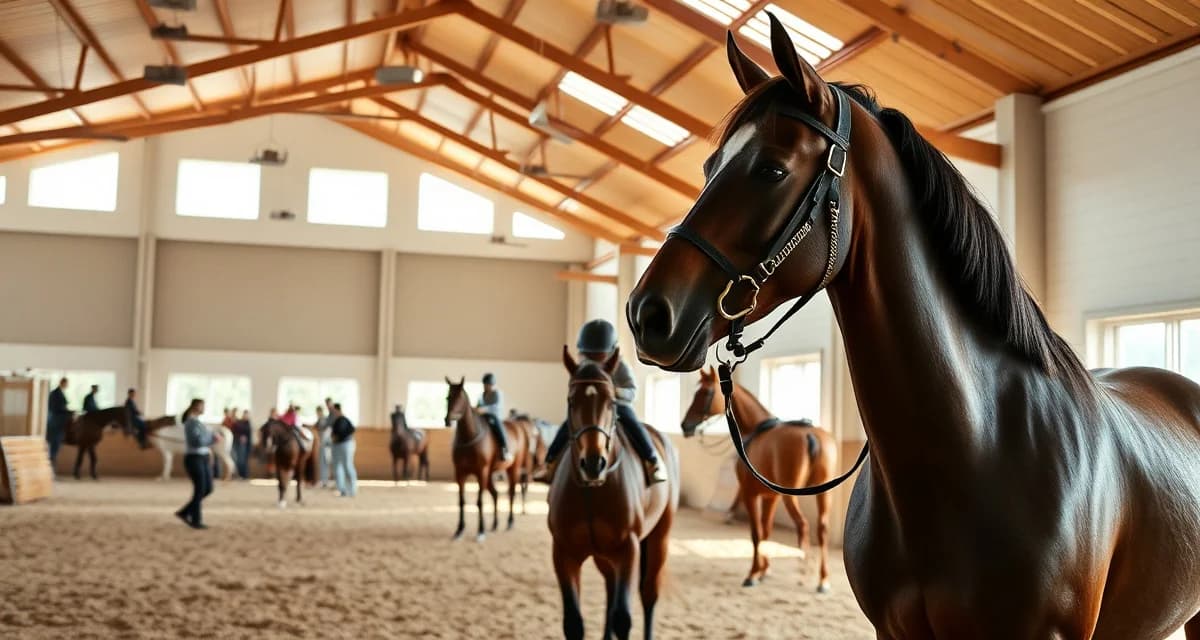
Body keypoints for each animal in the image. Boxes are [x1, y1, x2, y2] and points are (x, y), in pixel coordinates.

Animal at [444, 376, 530, 541]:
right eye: (448, 397)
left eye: (461, 398)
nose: (448, 419)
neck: (469, 438)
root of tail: (518, 426)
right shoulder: (460, 473)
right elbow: (461, 501)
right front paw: (459, 530)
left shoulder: (481, 472)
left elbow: (479, 501)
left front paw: (481, 531)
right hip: (490, 473)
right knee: (495, 494)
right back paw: (495, 524)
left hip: (511, 469)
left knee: (511, 492)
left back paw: (509, 522)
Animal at [549, 347, 679, 640]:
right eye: (570, 401)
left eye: (611, 402)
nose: (593, 463)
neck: (591, 493)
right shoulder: (564, 553)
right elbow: (573, 623)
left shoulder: (627, 549)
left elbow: (623, 618)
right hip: (603, 554)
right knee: (610, 588)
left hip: (659, 538)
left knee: (649, 594)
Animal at [682, 367, 837, 590]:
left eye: (705, 393)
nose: (685, 425)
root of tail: (810, 435)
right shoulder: (770, 497)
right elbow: (766, 531)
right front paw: (764, 570)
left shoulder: (750, 494)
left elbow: (756, 534)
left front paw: (753, 574)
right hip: (824, 495)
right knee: (822, 530)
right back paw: (823, 580)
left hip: (791, 497)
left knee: (803, 526)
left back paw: (803, 572)